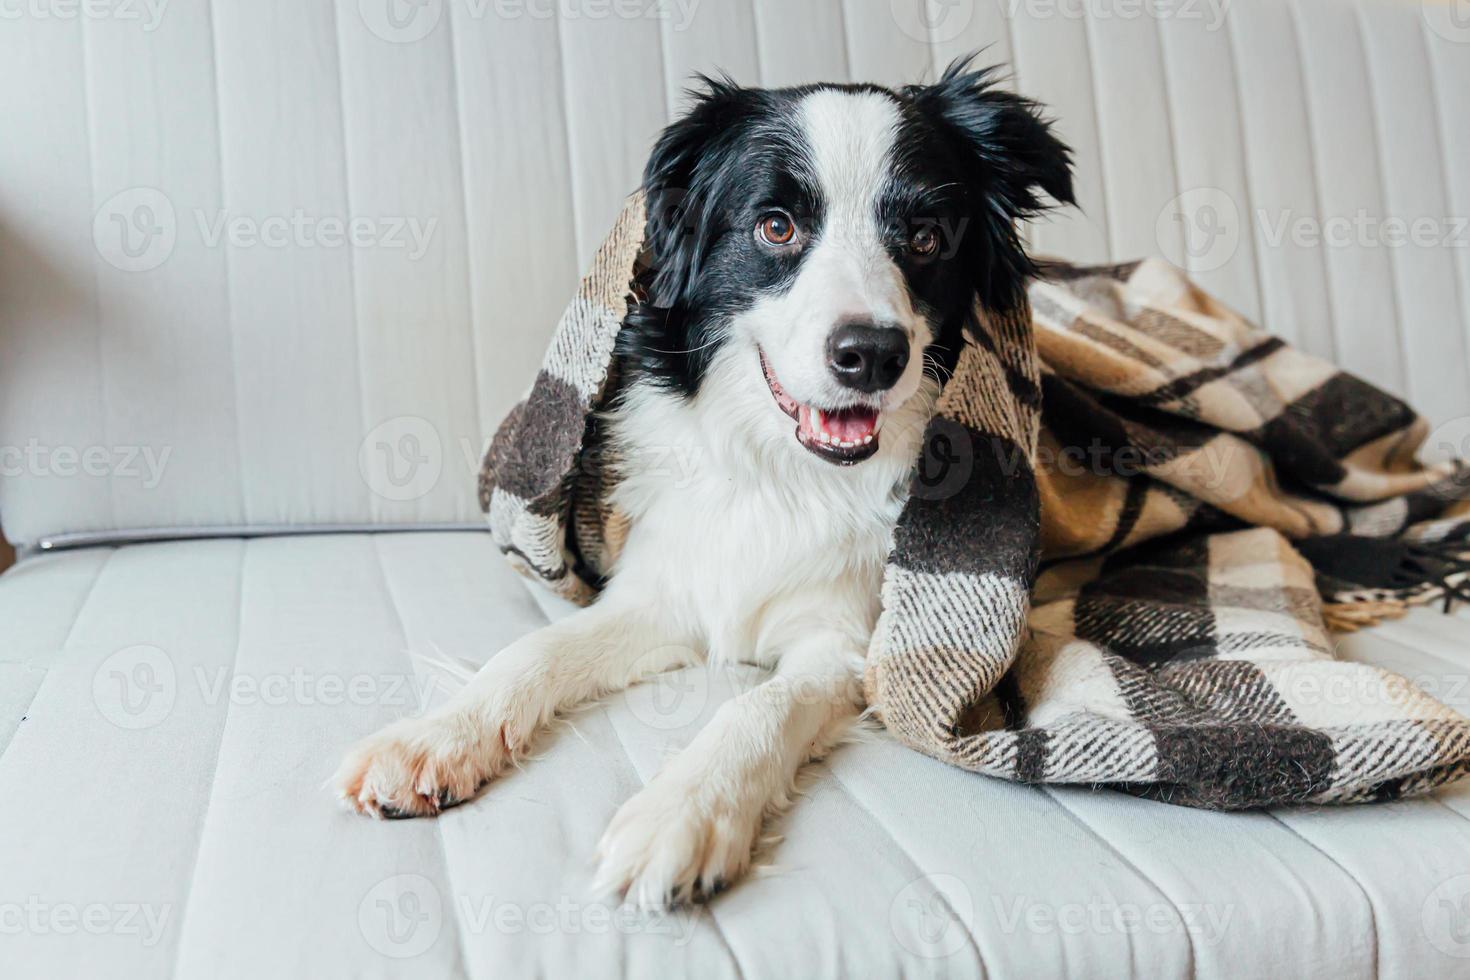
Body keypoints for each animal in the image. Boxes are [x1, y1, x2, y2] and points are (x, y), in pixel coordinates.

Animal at [333, 57, 1076, 910]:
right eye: (777, 227)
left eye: (926, 238)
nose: (873, 355)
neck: (781, 474)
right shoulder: (662, 590)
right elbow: (533, 653)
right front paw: (433, 738)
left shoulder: (842, 644)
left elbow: (761, 703)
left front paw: (680, 814)